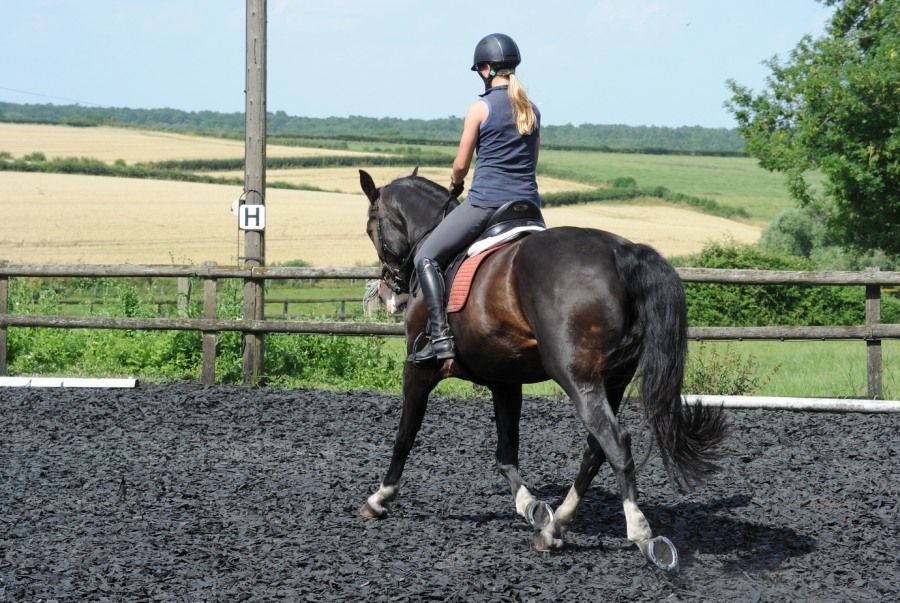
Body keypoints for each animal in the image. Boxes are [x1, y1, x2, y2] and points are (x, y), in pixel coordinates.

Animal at [356, 170, 728, 572]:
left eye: (371, 226)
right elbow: (506, 451)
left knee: (614, 442)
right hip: (612, 380)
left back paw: (643, 535)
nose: (388, 293)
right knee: (595, 448)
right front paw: (530, 506)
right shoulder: (504, 381)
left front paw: (380, 497)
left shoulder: (418, 372)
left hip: (578, 378)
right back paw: (554, 529)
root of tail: (621, 254)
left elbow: (404, 437)